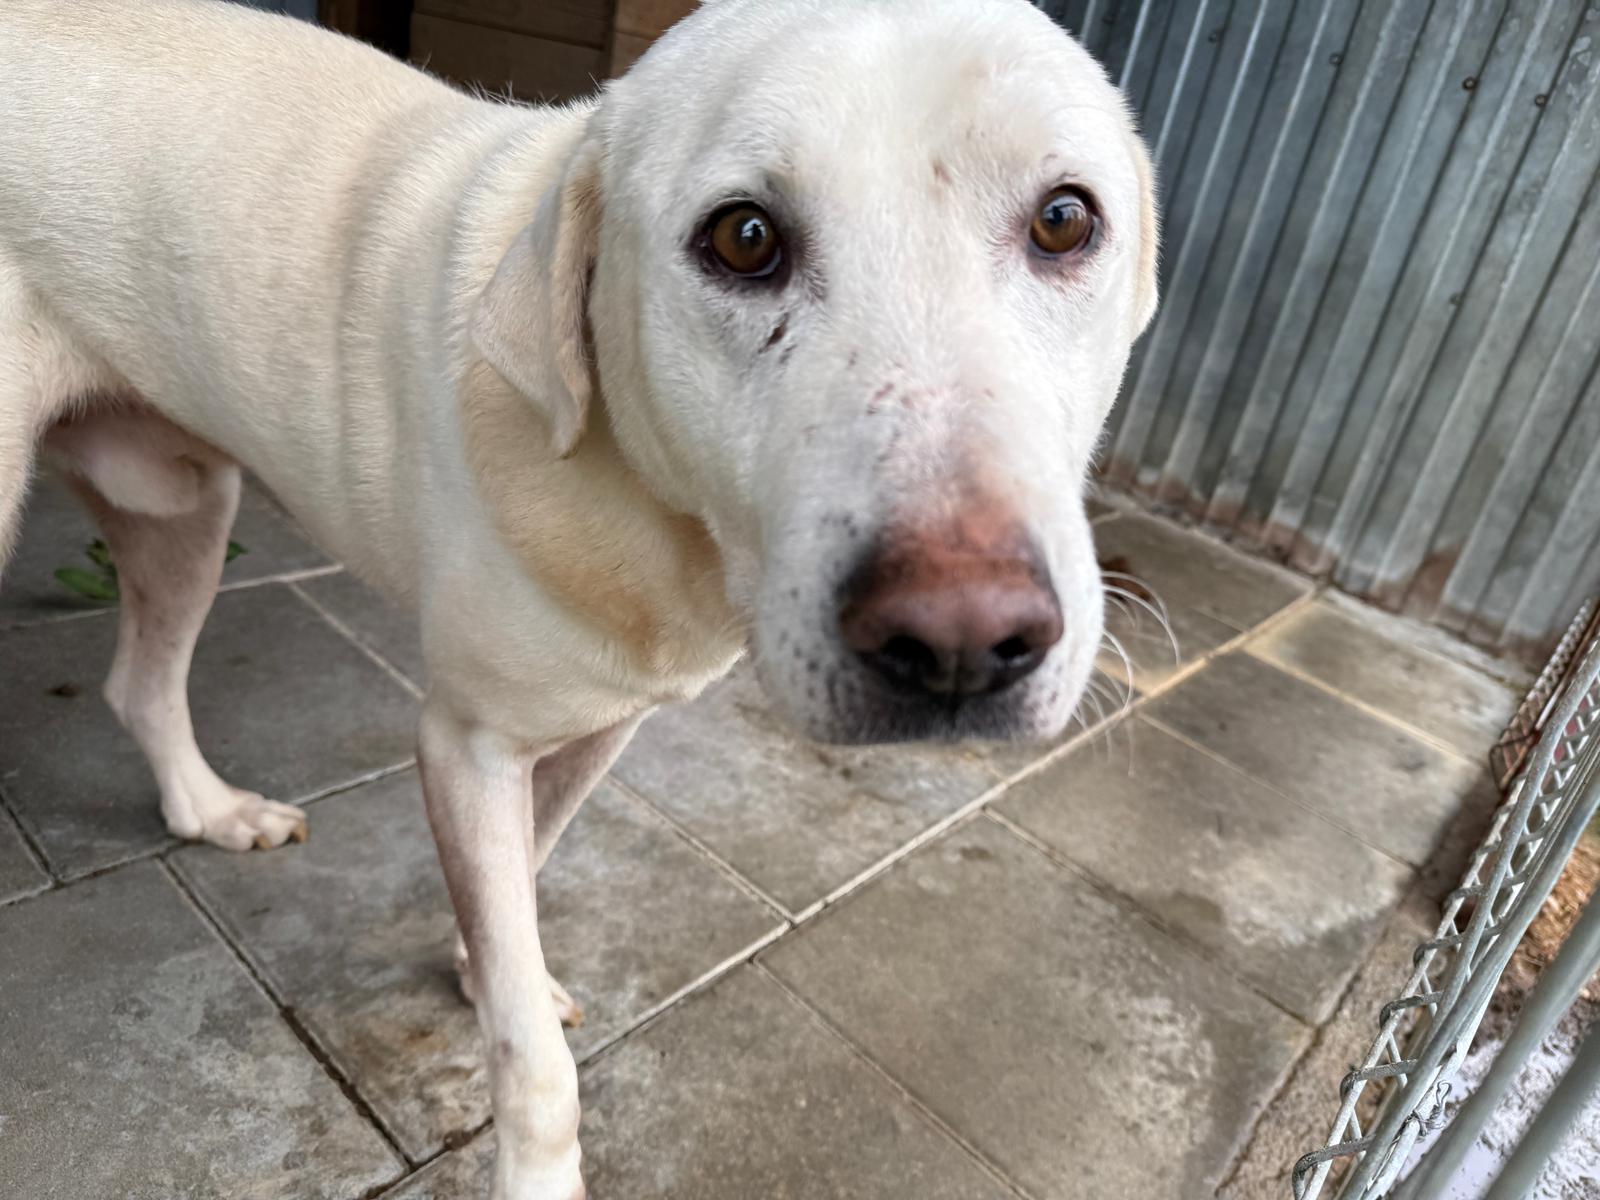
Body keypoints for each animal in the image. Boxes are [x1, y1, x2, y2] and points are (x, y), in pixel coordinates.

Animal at [0, 0, 1158, 1194]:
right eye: (745, 239)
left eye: (1065, 221)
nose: (962, 643)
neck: (655, 518)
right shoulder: (465, 746)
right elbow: (532, 1058)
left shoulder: (604, 721)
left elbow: (529, 870)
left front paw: (477, 966)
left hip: (183, 502)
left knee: (141, 683)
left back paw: (214, 810)